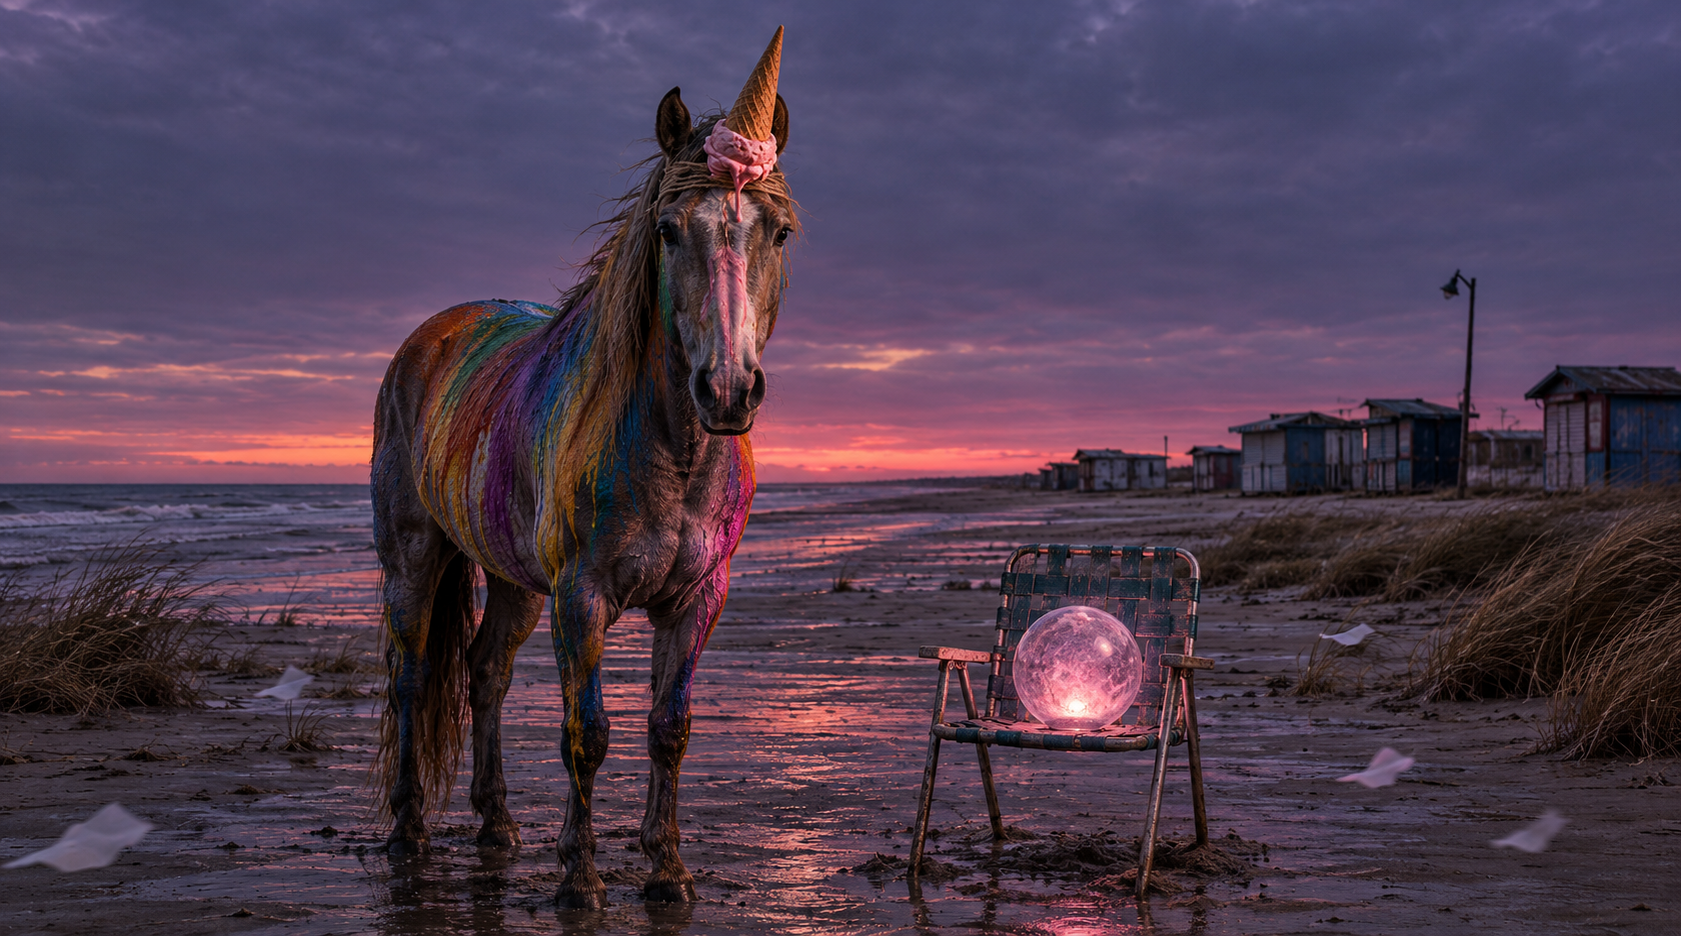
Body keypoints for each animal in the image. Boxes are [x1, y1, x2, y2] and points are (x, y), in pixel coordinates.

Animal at [369, 29, 795, 907]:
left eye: (778, 233)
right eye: (668, 230)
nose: (727, 389)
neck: (673, 449)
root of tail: (428, 336)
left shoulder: (697, 600)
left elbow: (669, 729)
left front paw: (666, 870)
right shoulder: (583, 596)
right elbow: (586, 733)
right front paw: (581, 878)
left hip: (513, 579)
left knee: (485, 673)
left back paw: (497, 825)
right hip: (416, 558)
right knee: (412, 676)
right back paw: (408, 831)